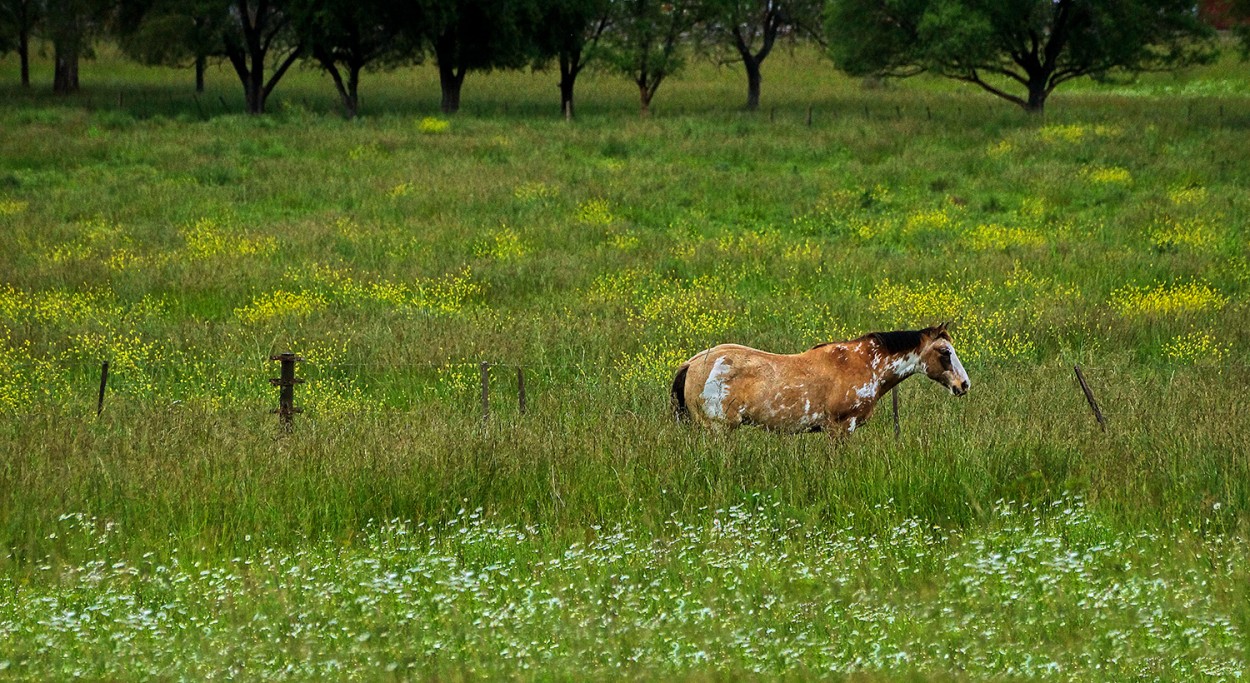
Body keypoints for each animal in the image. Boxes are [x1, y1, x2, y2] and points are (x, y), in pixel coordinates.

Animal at [670, 322, 970, 435]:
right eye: (945, 352)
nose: (964, 384)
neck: (866, 363)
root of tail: (692, 363)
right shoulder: (841, 427)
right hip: (719, 429)